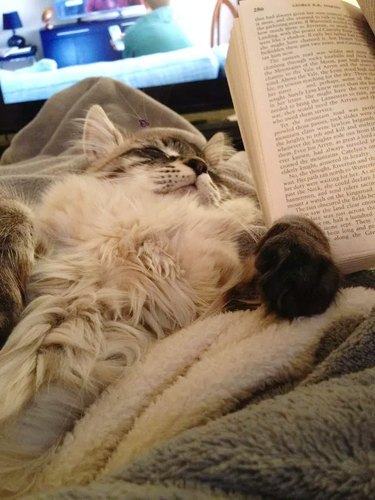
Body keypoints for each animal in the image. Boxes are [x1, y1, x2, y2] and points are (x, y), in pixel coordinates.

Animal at [0, 105, 342, 496]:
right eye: (156, 153)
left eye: (211, 170)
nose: (199, 166)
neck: (144, 231)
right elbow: (16, 212)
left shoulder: (219, 298)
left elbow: (295, 224)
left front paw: (304, 275)